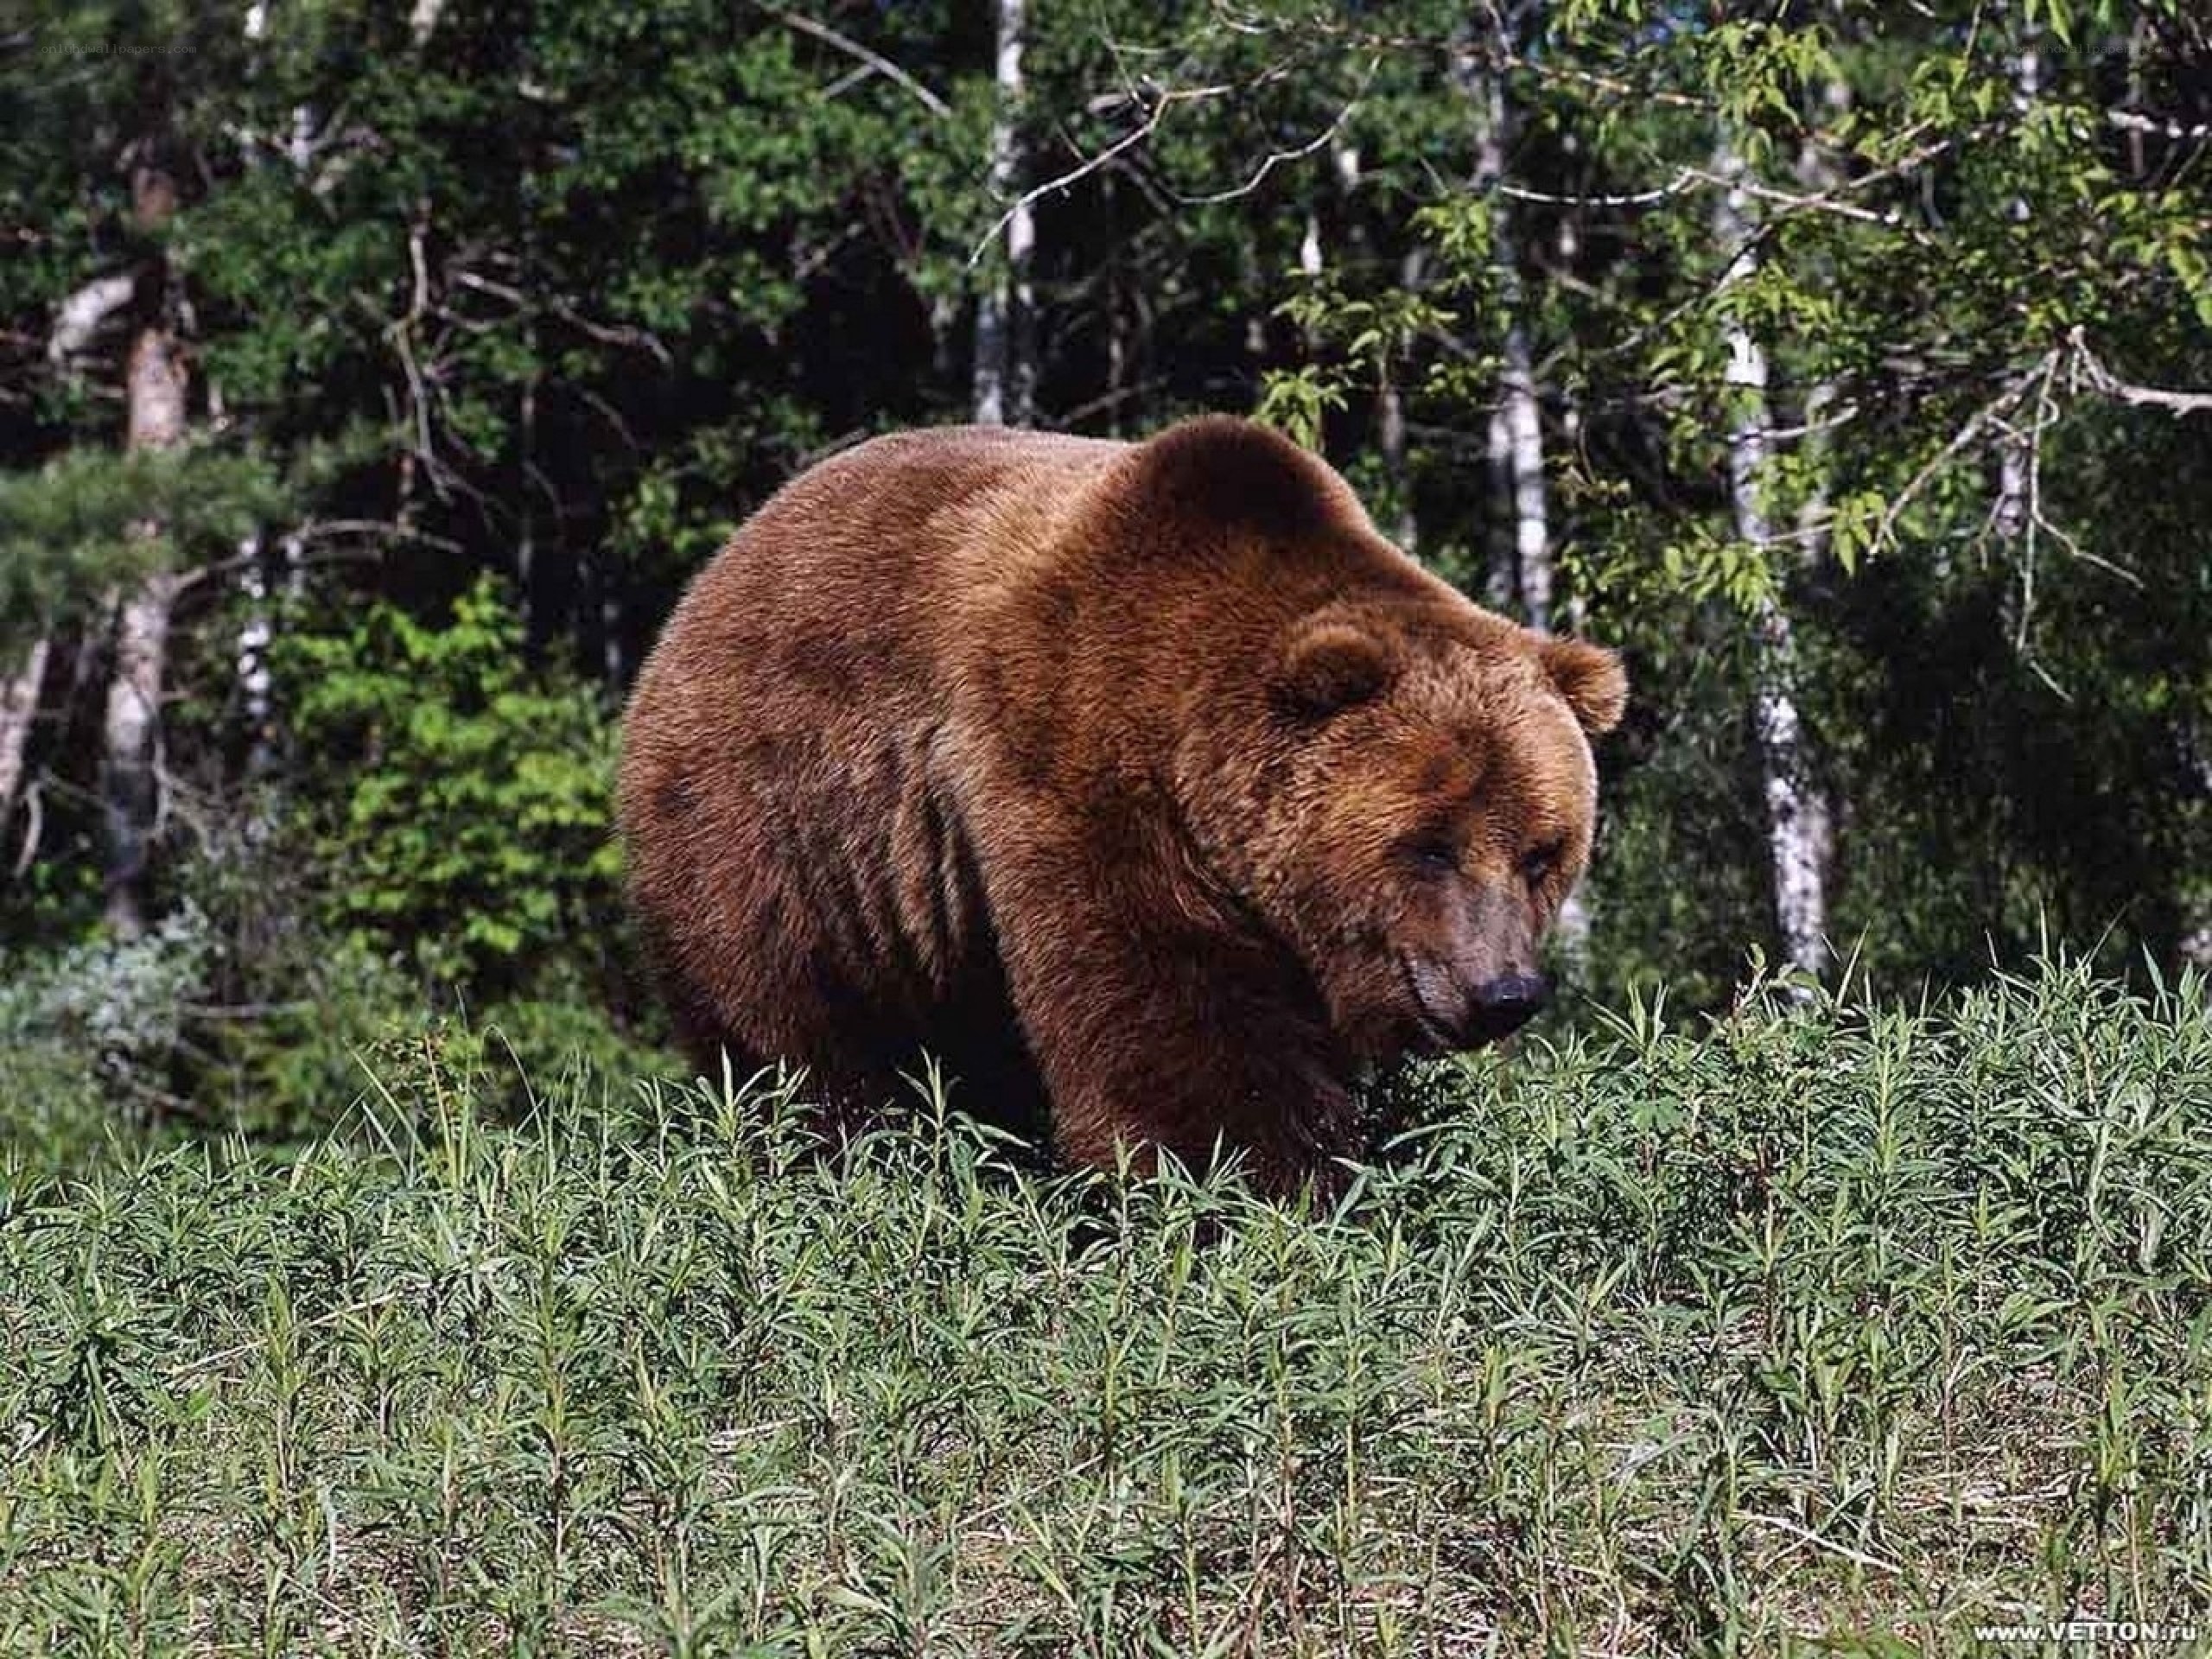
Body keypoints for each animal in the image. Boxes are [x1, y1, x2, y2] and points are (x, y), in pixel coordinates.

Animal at [618, 416, 1625, 1198]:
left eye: (1543, 853)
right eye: (1428, 846)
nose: (1503, 993)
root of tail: (712, 575)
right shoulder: (1077, 771)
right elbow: (1167, 1022)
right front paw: (1264, 1186)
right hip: (773, 828)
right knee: (791, 1029)